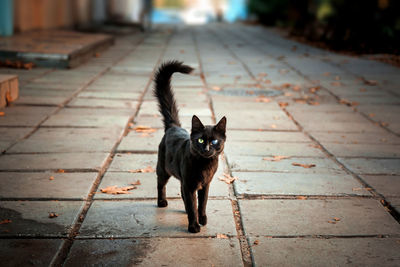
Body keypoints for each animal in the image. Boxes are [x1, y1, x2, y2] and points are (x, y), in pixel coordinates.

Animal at [153, 60, 227, 232]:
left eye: (214, 141)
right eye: (200, 140)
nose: (207, 149)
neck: (205, 165)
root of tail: (173, 126)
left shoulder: (205, 185)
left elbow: (202, 203)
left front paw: (202, 219)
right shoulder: (189, 184)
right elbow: (193, 205)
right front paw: (193, 226)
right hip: (163, 169)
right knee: (161, 184)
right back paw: (161, 202)